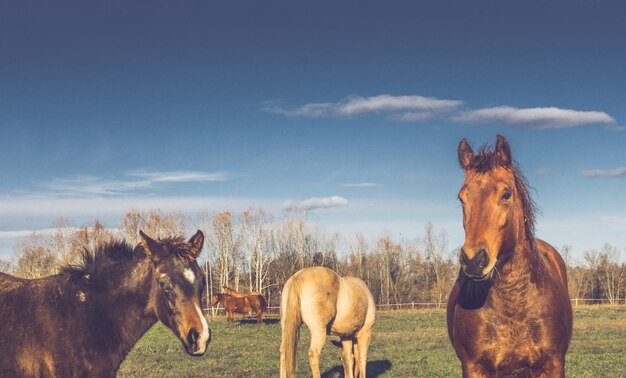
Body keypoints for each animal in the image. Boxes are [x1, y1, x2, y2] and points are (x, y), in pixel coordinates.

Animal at [444, 137, 572, 378]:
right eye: (461, 197)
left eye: (506, 194)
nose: (474, 261)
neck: (513, 308)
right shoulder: (474, 367)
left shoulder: (552, 365)